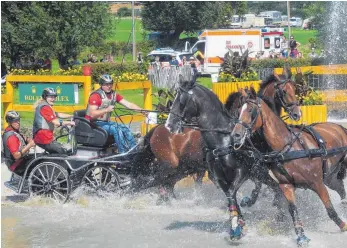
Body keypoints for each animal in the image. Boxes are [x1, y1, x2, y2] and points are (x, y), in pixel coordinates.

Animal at [231, 96, 347, 245]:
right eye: (238, 111)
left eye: (251, 110)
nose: (236, 134)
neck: (287, 148)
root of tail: (339, 127)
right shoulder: (286, 185)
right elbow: (293, 210)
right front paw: (301, 236)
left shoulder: (317, 183)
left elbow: (330, 209)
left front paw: (342, 225)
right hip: (330, 177)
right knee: (340, 189)